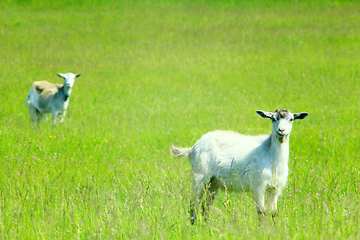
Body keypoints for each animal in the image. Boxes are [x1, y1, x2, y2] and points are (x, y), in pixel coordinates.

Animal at [172, 109, 310, 224]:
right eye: (273, 118)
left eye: (291, 119)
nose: (281, 131)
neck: (270, 154)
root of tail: (193, 148)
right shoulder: (259, 185)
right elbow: (261, 211)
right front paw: (262, 230)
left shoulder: (275, 188)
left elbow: (273, 213)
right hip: (200, 175)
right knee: (194, 202)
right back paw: (193, 225)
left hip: (213, 182)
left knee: (206, 205)